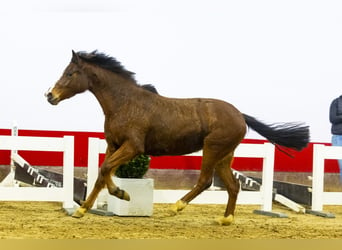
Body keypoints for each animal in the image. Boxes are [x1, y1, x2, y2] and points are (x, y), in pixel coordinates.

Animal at [45, 49, 310, 226]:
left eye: (70, 73)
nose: (50, 95)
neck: (125, 104)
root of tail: (240, 115)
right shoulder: (114, 145)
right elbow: (102, 174)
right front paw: (82, 210)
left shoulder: (133, 147)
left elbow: (105, 169)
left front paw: (123, 194)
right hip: (225, 156)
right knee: (233, 186)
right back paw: (225, 219)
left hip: (212, 149)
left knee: (205, 181)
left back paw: (176, 207)